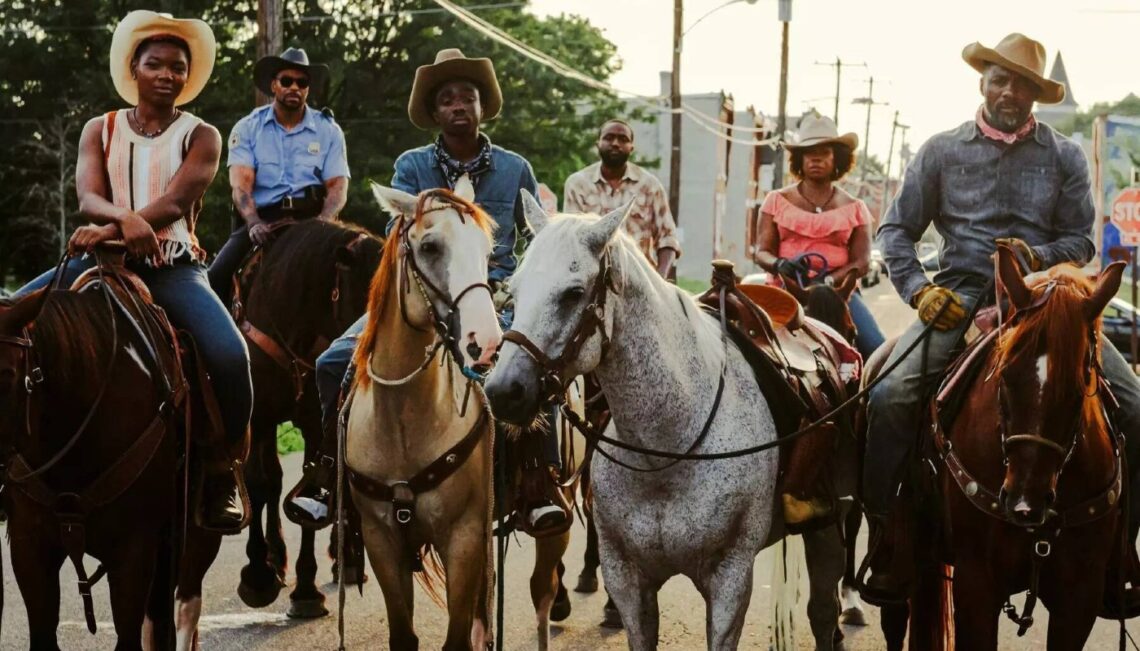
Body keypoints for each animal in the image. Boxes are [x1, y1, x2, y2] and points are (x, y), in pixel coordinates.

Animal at [229, 217, 380, 615]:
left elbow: (316, 486)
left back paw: (347, 558)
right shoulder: (260, 418)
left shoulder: (316, 423)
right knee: (272, 481)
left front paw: (307, 589)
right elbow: (261, 483)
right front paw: (258, 575)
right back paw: (274, 558)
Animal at [487, 198, 857, 651]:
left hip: (829, 527)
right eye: (515, 290)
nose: (503, 391)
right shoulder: (628, 580)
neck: (668, 448)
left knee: (822, 611)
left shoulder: (730, 580)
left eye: (573, 293)